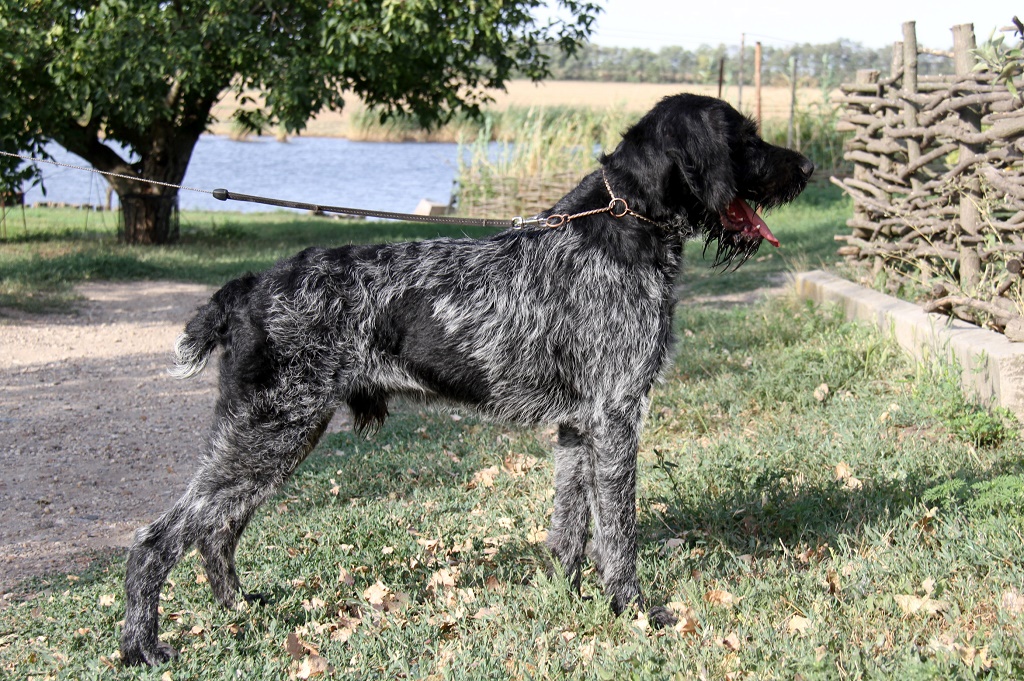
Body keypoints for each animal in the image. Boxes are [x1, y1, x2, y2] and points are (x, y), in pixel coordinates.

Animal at [120, 93, 813, 665]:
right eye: (745, 138)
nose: (806, 167)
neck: (626, 222)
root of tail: (248, 289)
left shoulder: (578, 427)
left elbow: (569, 526)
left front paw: (562, 598)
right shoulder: (615, 417)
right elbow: (618, 532)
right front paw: (633, 610)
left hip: (278, 435)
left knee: (215, 529)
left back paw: (236, 607)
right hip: (271, 430)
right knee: (157, 539)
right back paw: (141, 648)